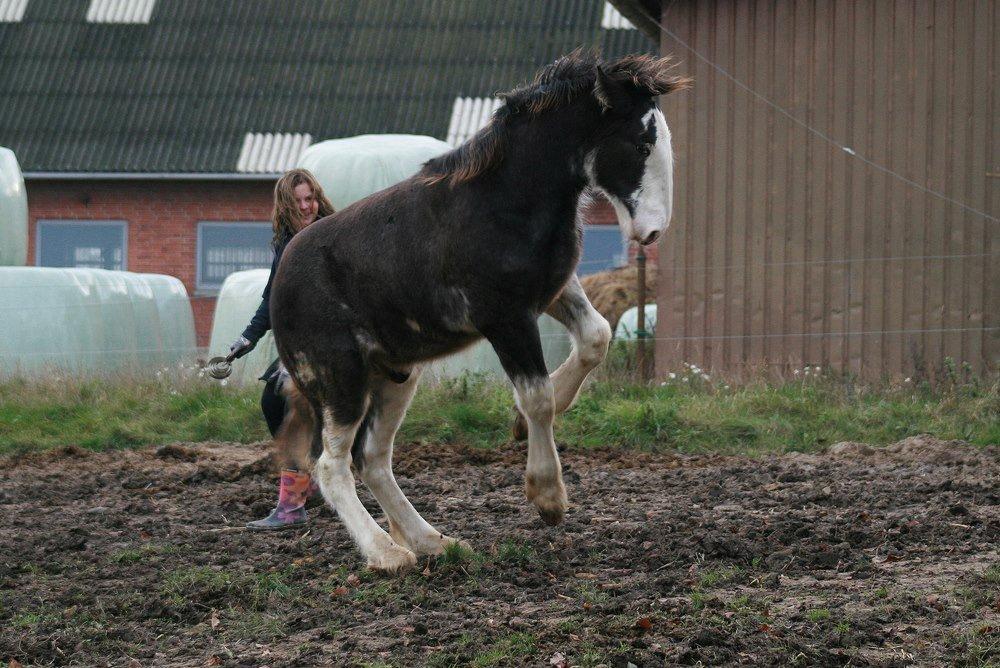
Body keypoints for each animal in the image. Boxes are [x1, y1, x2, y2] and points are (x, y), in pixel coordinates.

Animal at [274, 51, 696, 568]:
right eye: (640, 141)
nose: (653, 231)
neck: (504, 202)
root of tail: (279, 280)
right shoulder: (505, 318)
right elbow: (537, 396)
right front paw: (547, 496)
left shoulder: (551, 291)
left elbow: (596, 336)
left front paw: (519, 425)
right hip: (340, 381)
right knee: (331, 466)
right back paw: (387, 554)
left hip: (395, 376)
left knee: (372, 459)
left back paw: (432, 541)